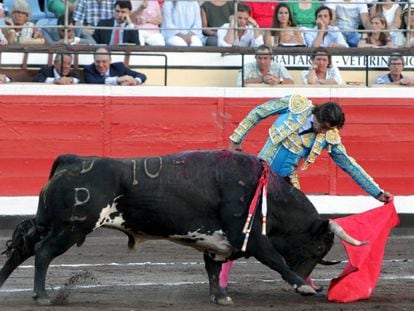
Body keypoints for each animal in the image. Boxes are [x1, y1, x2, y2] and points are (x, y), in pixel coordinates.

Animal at [0, 150, 362, 306]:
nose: (310, 280)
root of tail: (73, 160)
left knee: (23, 248)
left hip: (49, 223)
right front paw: (303, 287)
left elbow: (213, 269)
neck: (266, 193)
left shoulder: (217, 243)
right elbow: (275, 260)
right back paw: (43, 296)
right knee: (43, 253)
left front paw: (221, 297)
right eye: (319, 247)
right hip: (70, 229)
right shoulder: (250, 237)